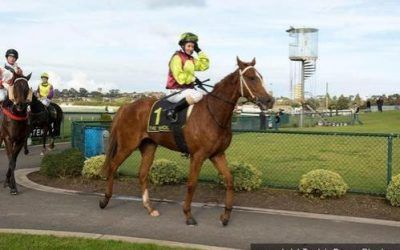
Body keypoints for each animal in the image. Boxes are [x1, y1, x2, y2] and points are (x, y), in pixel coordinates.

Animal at [100, 57, 276, 226]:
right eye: (251, 77)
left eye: (261, 77)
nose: (269, 100)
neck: (213, 113)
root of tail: (126, 106)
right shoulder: (197, 155)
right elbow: (192, 184)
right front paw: (188, 215)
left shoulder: (217, 154)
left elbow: (230, 181)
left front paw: (225, 216)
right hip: (127, 145)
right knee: (113, 166)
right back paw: (105, 199)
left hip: (149, 146)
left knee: (142, 174)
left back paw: (149, 208)